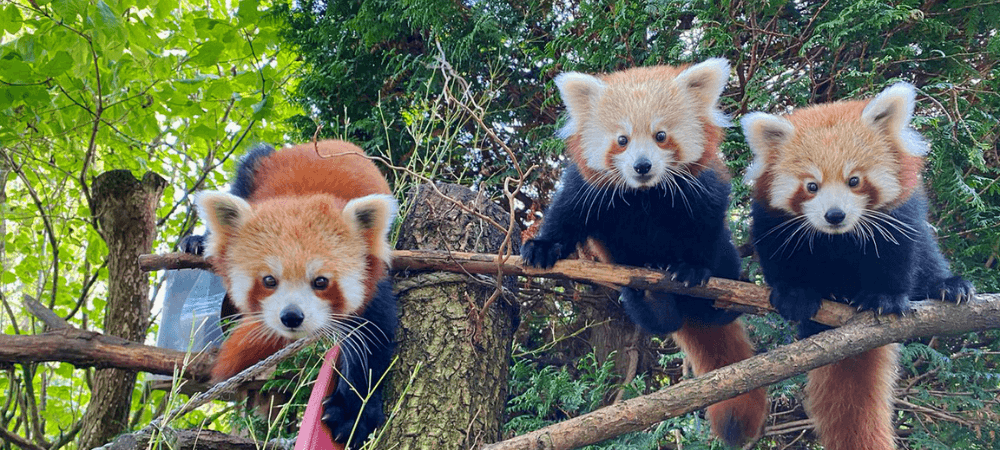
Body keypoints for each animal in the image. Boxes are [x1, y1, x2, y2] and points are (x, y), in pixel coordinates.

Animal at [520, 59, 768, 446]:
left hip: (726, 260)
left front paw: (692, 268)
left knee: (720, 289)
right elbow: (567, 214)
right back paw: (646, 295)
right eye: (622, 140)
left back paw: (721, 297)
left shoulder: (701, 189)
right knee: (660, 321)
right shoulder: (588, 187)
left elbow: (705, 226)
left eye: (660, 136)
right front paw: (543, 245)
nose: (641, 166)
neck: (645, 194)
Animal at [748, 82, 972, 448]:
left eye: (854, 180)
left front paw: (885, 298)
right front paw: (796, 295)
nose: (835, 215)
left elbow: (898, 255)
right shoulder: (772, 220)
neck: (838, 238)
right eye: (811, 186)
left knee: (928, 258)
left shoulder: (899, 215)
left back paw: (947, 286)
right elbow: (781, 260)